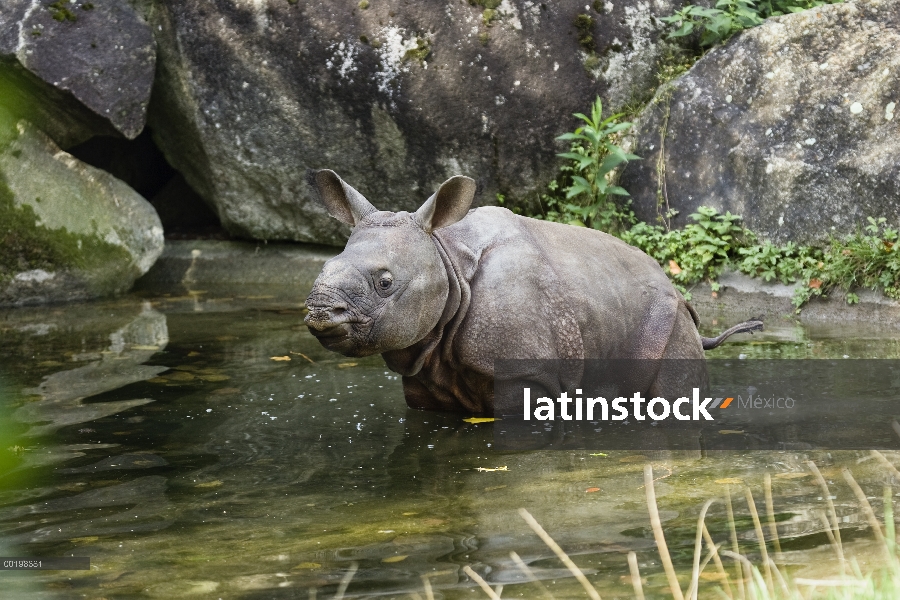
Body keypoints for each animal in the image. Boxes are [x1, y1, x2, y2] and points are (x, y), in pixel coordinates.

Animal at [306, 169, 764, 412]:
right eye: (323, 266)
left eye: (384, 283)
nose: (320, 312)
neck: (446, 257)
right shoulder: (423, 376)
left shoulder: (526, 371)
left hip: (671, 321)